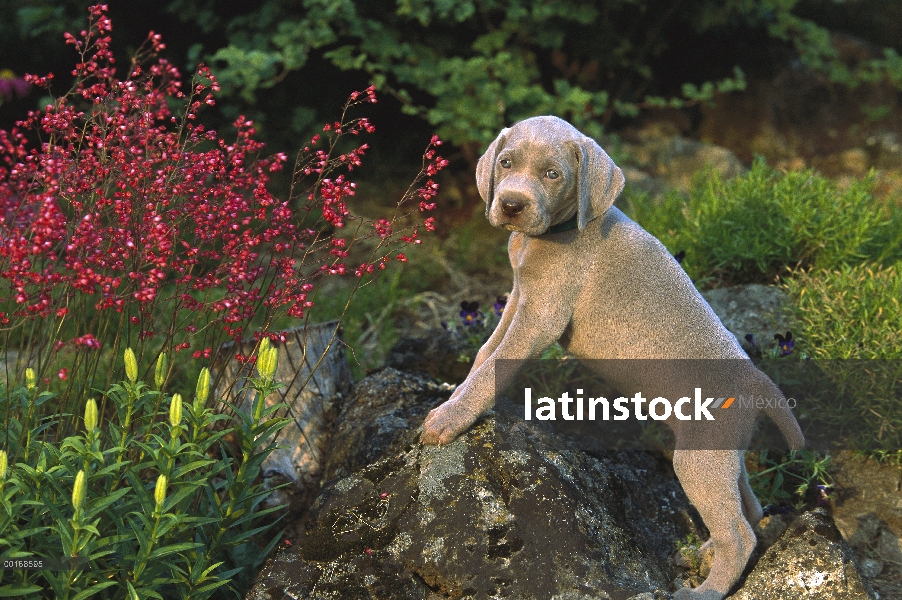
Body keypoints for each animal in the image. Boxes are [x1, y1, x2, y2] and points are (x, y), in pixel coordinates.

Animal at [420, 116, 808, 600]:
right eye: (506, 163)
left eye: (553, 174)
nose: (510, 204)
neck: (559, 232)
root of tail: (757, 380)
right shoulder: (518, 298)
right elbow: (485, 352)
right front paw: (452, 398)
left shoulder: (541, 315)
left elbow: (495, 364)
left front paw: (450, 419)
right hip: (724, 450)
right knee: (750, 511)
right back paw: (704, 553)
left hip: (699, 455)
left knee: (740, 535)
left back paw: (704, 589)